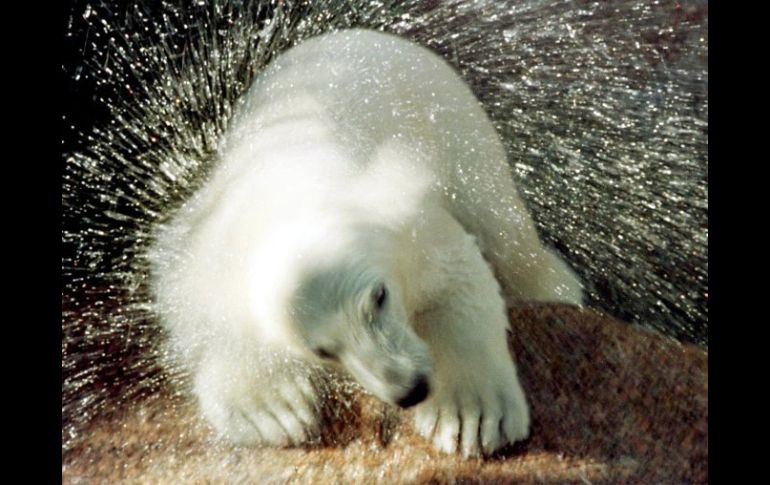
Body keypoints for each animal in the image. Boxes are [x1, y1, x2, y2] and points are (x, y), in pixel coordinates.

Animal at [148, 28, 584, 456]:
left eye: (379, 296)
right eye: (322, 351)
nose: (410, 389)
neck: (292, 179)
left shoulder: (404, 215)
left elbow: (457, 278)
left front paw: (470, 417)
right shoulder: (204, 241)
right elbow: (197, 307)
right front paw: (273, 407)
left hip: (455, 122)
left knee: (502, 226)